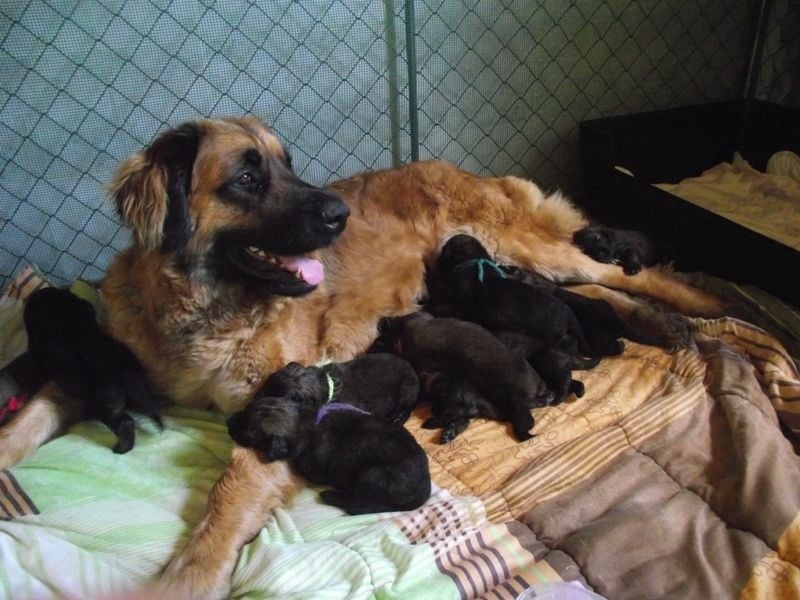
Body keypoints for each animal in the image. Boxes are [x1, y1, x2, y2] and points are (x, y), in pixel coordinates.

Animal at [22, 288, 161, 452]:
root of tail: (122, 373)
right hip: (139, 385)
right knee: (149, 404)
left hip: (105, 402)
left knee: (124, 423)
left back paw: (121, 448)